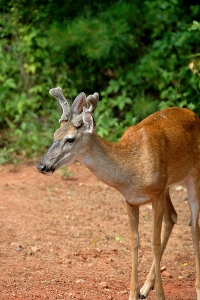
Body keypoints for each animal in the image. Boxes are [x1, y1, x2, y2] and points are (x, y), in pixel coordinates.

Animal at [38, 87, 200, 300]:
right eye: (55, 134)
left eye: (70, 139)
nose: (42, 166)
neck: (131, 171)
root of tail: (194, 115)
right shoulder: (131, 200)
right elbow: (134, 241)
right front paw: (133, 293)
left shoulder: (156, 194)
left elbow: (154, 243)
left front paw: (160, 296)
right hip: (168, 186)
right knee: (173, 217)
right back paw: (145, 288)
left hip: (193, 175)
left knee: (194, 225)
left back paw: (197, 289)